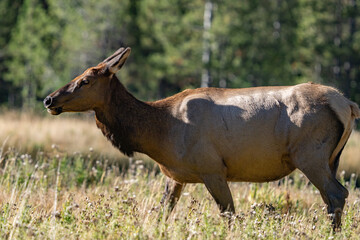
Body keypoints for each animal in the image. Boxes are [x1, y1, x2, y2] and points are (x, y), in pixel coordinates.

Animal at [43, 47, 358, 229]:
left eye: (85, 80)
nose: (49, 99)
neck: (158, 133)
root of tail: (347, 104)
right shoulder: (174, 175)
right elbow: (163, 213)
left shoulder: (213, 168)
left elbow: (229, 215)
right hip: (330, 160)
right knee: (331, 199)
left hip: (310, 155)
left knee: (337, 194)